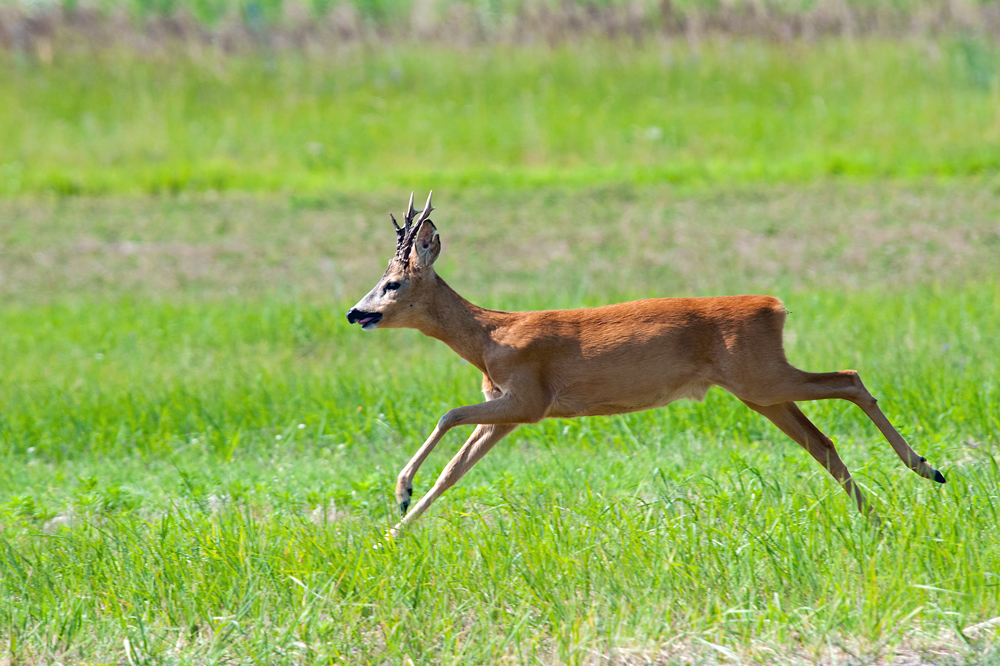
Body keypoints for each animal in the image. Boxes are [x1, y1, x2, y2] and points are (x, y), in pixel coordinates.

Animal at [350, 192, 944, 536]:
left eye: (393, 282)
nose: (357, 312)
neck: (489, 336)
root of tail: (772, 306)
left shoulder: (529, 398)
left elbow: (447, 415)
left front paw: (399, 495)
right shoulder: (507, 411)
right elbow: (455, 470)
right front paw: (396, 531)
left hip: (761, 377)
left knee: (849, 379)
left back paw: (926, 468)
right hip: (760, 391)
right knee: (824, 440)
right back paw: (877, 516)